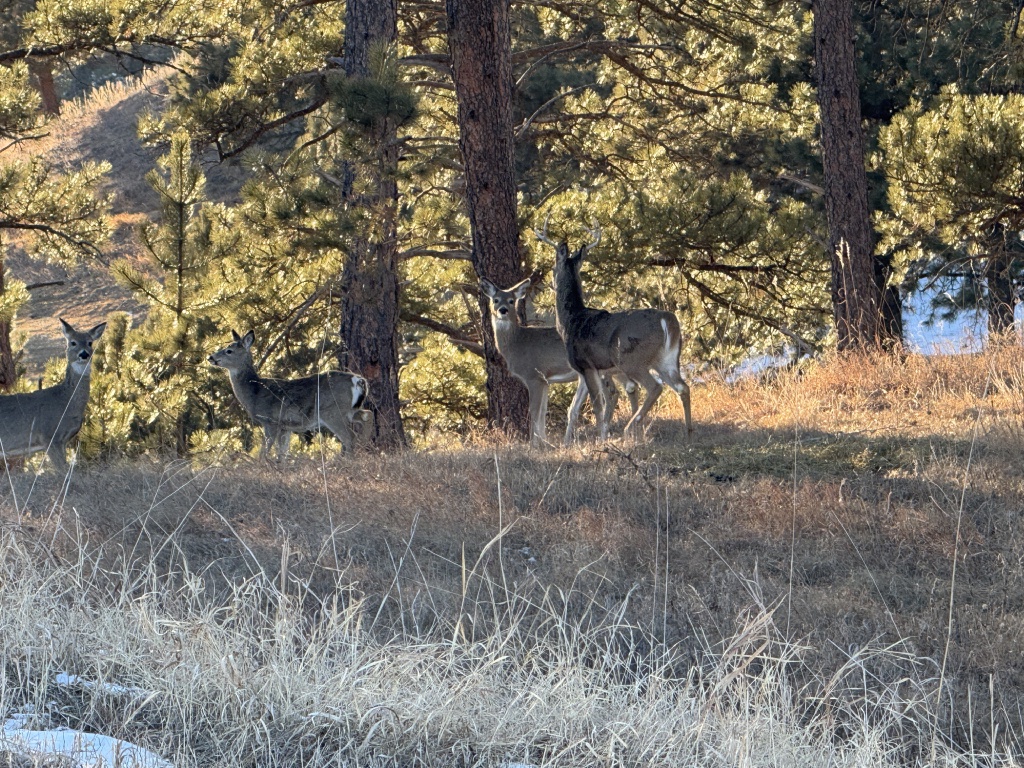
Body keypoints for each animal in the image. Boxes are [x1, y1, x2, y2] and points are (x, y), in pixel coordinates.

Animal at [0, 318, 107, 472]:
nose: (84, 354)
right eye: (72, 342)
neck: (65, 400)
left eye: (90, 342)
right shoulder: (49, 436)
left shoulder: (62, 441)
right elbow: (64, 471)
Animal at [208, 330, 371, 460]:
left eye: (229, 351)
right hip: (350, 409)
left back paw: (347, 461)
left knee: (349, 437)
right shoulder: (285, 427)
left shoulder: (270, 421)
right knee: (367, 416)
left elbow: (264, 452)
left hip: (333, 411)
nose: (210, 357)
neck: (255, 392)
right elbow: (282, 453)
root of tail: (357, 379)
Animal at [481, 277, 639, 446]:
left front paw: (534, 445)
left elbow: (534, 410)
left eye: (511, 300)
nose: (502, 310)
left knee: (619, 391)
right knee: (628, 388)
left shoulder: (534, 376)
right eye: (496, 300)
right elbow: (543, 411)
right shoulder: (545, 381)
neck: (517, 343)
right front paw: (545, 442)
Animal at [538, 221, 692, 442]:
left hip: (631, 358)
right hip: (667, 359)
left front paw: (600, 438)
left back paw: (630, 428)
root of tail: (667, 320)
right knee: (683, 387)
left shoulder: (586, 365)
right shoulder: (590, 369)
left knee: (655, 386)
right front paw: (575, 440)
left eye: (552, 268)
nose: (549, 281)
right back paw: (688, 432)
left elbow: (598, 405)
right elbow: (575, 407)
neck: (570, 321)